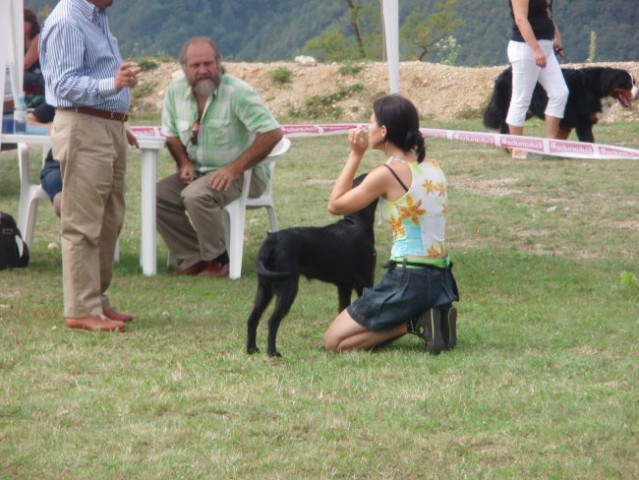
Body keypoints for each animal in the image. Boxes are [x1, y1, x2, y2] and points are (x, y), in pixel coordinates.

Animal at [245, 173, 378, 356]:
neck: (356, 222)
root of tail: (271, 241)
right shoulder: (364, 281)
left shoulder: (344, 286)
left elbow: (342, 310)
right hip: (287, 287)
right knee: (272, 321)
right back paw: (273, 352)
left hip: (265, 289)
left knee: (253, 318)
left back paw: (251, 349)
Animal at [482, 67, 636, 142]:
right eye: (627, 83)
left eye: (634, 82)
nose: (637, 94)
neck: (597, 86)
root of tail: (503, 74)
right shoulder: (583, 122)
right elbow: (589, 140)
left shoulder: (566, 123)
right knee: (506, 126)